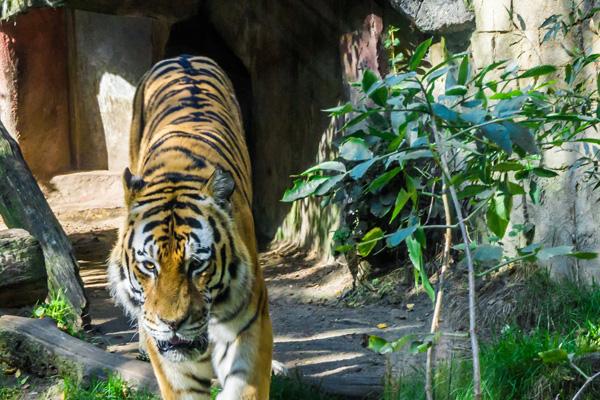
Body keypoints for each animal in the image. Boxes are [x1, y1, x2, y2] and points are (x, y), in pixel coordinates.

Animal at [109, 54, 274, 400]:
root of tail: (183, 56)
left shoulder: (249, 325)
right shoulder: (172, 366)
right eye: (149, 266)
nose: (173, 324)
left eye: (197, 264)